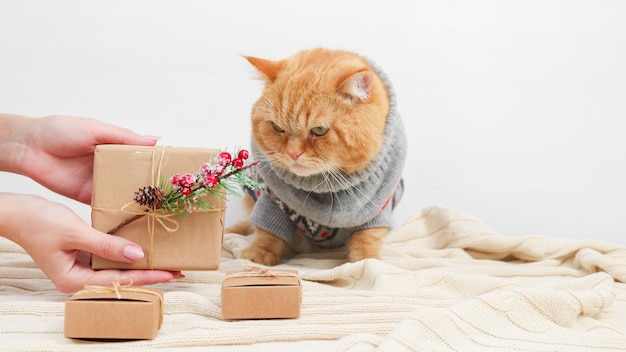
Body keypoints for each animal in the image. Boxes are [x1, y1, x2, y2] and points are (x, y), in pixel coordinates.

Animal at [229, 48, 404, 266]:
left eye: (320, 130)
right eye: (277, 128)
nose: (292, 153)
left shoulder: (376, 209)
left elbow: (367, 238)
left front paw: (367, 262)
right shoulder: (272, 200)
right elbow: (267, 232)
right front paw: (258, 255)